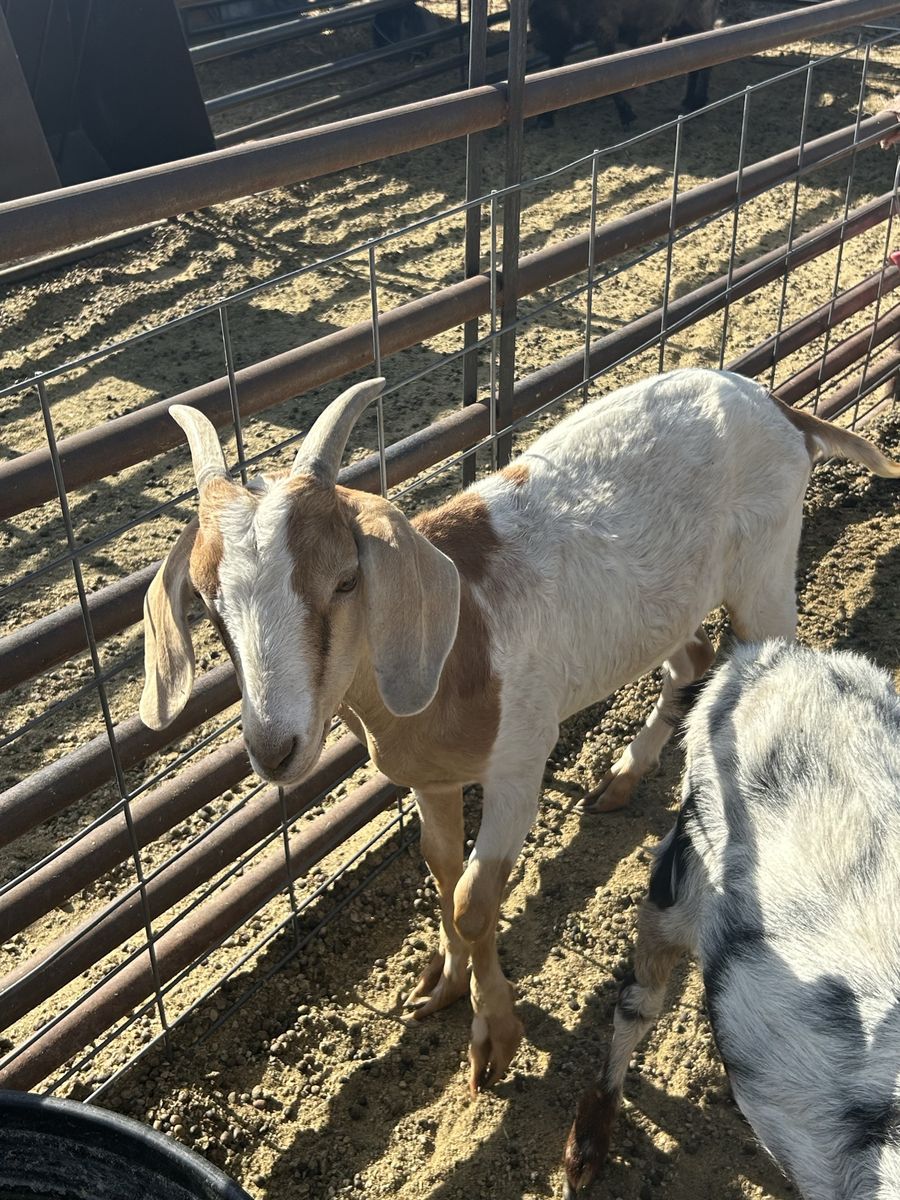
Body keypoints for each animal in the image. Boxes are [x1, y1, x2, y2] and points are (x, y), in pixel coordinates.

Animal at [141, 368, 900, 1097]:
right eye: (207, 604)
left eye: (346, 580)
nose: (276, 748)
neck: (460, 642)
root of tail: (777, 407)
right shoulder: (433, 779)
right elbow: (442, 867)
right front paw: (442, 986)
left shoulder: (520, 763)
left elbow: (476, 898)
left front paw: (494, 1042)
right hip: (670, 608)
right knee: (691, 659)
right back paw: (620, 780)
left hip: (764, 577)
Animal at [529, 0, 719, 128]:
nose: (538, 43)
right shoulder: (558, 48)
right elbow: (553, 77)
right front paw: (545, 119)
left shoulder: (605, 31)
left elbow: (609, 75)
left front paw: (627, 115)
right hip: (682, 25)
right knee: (695, 61)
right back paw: (689, 100)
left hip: (698, 16)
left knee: (707, 56)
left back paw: (698, 101)